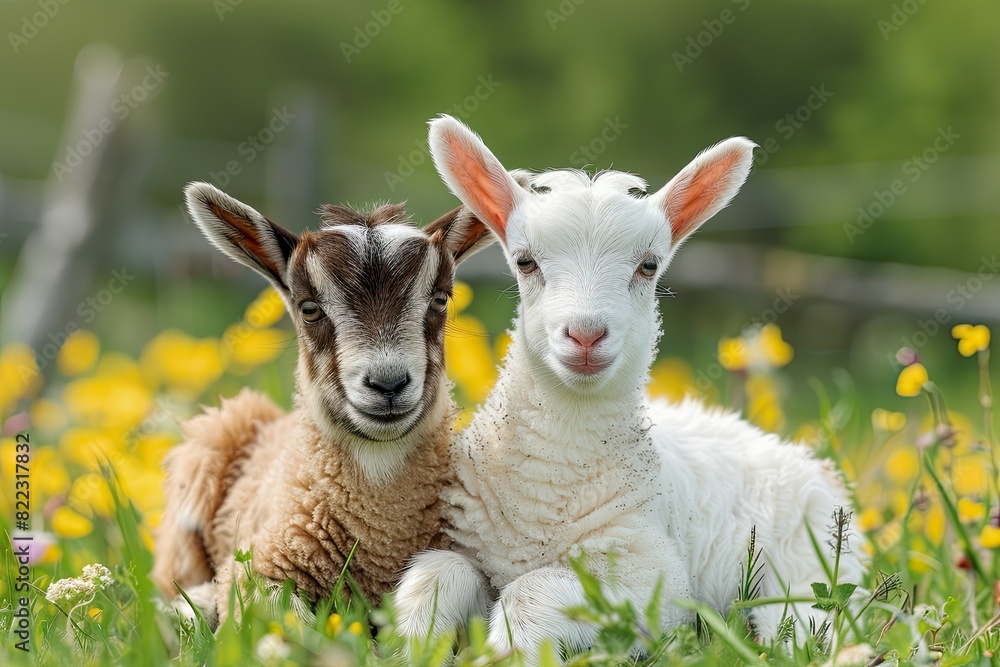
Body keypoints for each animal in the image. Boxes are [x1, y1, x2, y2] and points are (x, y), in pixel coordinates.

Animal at [392, 116, 866, 663]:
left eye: (649, 265)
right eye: (525, 262)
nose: (586, 335)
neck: (546, 491)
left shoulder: (654, 579)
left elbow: (533, 591)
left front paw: (511, 652)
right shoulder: (466, 545)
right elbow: (431, 579)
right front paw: (416, 647)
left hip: (810, 565)